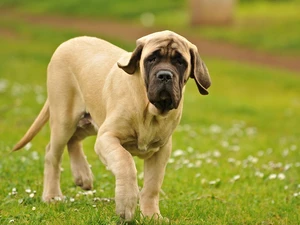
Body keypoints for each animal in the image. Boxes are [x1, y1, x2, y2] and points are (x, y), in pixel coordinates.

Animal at [12, 30, 211, 221]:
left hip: (90, 122)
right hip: (65, 119)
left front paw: (152, 215)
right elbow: (126, 162)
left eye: (180, 62)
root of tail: (67, 42)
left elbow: (152, 186)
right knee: (52, 154)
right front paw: (126, 204)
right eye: (151, 59)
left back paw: (82, 175)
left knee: (74, 140)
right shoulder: (107, 137)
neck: (149, 110)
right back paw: (52, 195)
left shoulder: (161, 150)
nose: (165, 75)